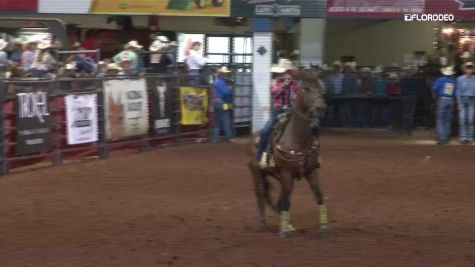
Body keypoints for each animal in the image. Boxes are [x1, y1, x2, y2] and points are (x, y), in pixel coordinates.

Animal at [247, 69, 330, 239]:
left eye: (321, 88)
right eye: (306, 89)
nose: (321, 108)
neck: (297, 138)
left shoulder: (310, 171)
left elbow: (319, 195)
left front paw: (324, 228)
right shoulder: (286, 173)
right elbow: (284, 201)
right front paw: (283, 231)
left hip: (277, 175)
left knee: (281, 198)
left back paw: (289, 224)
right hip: (257, 171)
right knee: (261, 194)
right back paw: (262, 223)